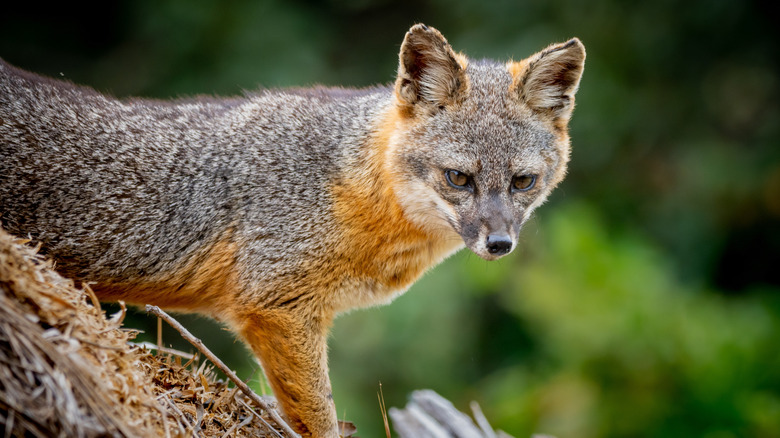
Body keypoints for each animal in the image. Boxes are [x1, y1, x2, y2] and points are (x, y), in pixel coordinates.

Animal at [0, 24, 585, 436]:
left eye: (523, 181)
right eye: (458, 178)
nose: (500, 244)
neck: (350, 185)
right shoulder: (278, 307)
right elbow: (317, 417)